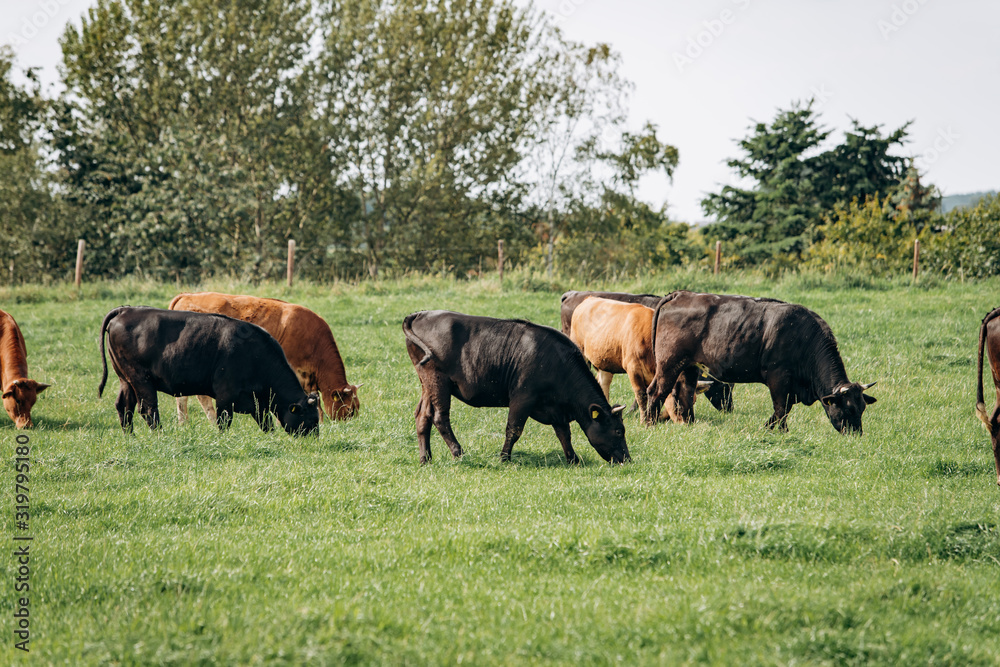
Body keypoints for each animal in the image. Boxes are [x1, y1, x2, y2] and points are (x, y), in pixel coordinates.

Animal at [99, 306, 318, 436]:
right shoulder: (225, 396)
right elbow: (224, 421)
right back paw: (160, 435)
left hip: (126, 380)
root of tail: (126, 310)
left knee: (124, 406)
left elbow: (267, 423)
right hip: (141, 379)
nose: (313, 439)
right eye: (310, 419)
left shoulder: (257, 403)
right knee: (148, 409)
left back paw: (130, 435)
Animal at [402, 312, 628, 464]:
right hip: (438, 380)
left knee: (423, 416)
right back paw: (458, 452)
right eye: (618, 431)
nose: (628, 459)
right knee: (440, 417)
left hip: (427, 382)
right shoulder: (522, 396)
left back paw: (425, 459)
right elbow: (514, 429)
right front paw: (504, 458)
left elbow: (564, 433)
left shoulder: (556, 409)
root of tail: (422, 314)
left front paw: (573, 460)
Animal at [644, 292, 872, 434]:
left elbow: (783, 409)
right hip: (669, 364)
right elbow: (781, 408)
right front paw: (779, 432)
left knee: (685, 392)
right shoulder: (778, 377)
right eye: (849, 409)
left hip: (689, 367)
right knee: (656, 391)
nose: (856, 435)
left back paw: (689, 424)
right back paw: (649, 423)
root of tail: (681, 294)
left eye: (862, 408)